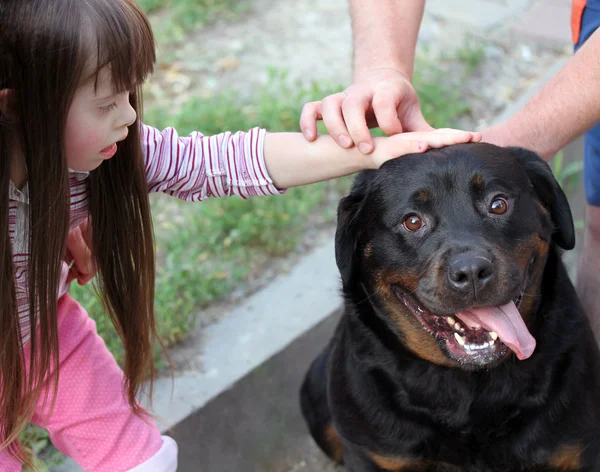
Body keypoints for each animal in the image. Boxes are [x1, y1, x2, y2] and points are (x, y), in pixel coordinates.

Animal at [302, 145, 600, 472]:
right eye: (413, 221)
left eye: (498, 204)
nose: (470, 271)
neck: (471, 387)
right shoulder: (374, 455)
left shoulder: (577, 447)